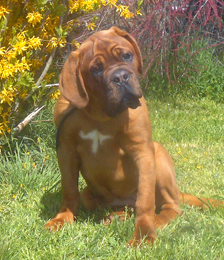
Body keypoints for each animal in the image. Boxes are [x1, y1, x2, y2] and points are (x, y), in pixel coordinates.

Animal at [45, 26, 222, 246]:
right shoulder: (66, 150)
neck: (100, 114)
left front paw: (144, 235)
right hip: (92, 194)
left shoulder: (143, 151)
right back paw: (117, 217)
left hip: (158, 155)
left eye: (127, 56)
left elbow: (145, 200)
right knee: (122, 206)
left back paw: (155, 220)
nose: (120, 77)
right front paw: (62, 219)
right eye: (96, 69)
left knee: (170, 207)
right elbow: (69, 189)